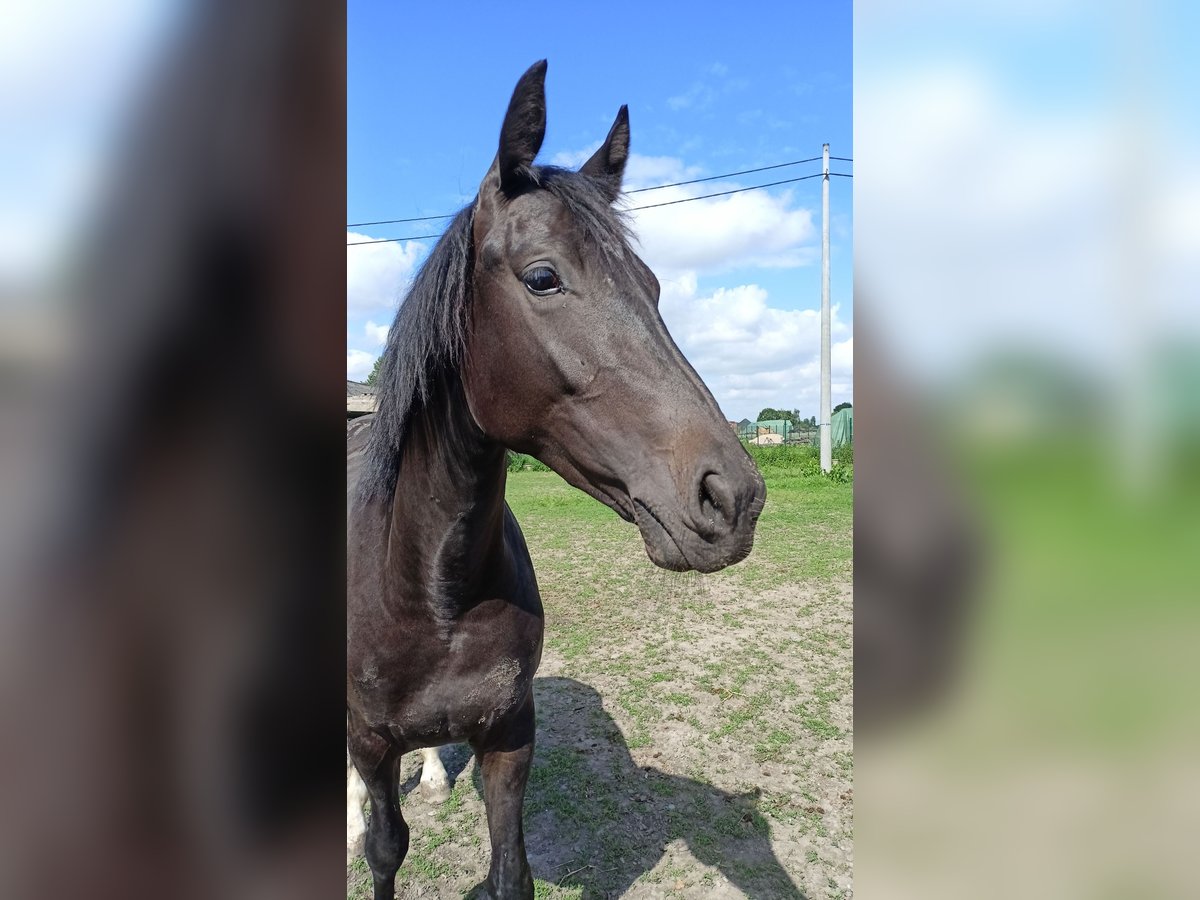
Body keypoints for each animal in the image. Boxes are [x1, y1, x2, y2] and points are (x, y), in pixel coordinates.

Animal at [348, 60, 763, 897]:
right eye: (544, 277)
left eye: (655, 286)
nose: (734, 498)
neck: (428, 591)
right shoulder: (371, 747)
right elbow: (385, 849)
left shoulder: (511, 736)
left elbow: (512, 870)